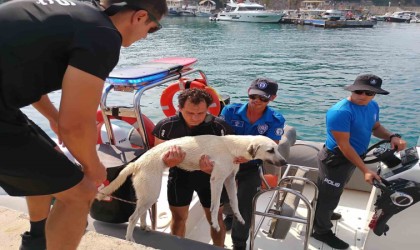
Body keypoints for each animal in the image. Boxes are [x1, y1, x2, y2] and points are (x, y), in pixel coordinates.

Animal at [96, 135, 286, 242]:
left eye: (277, 148)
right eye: (270, 150)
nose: (284, 162)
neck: (233, 146)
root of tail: (137, 162)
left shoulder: (230, 180)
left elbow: (235, 202)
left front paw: (239, 217)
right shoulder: (216, 180)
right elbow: (215, 206)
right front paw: (215, 224)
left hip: (148, 194)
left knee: (140, 214)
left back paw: (144, 227)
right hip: (151, 192)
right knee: (132, 217)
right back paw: (129, 239)